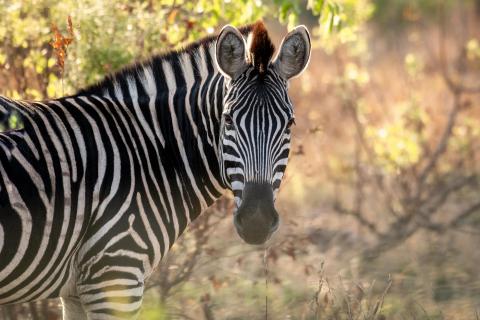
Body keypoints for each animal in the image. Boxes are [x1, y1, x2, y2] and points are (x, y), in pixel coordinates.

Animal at [0, 21, 312, 318]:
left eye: (290, 124)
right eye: (228, 120)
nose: (257, 222)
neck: (147, 152)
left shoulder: (77, 290)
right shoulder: (116, 272)